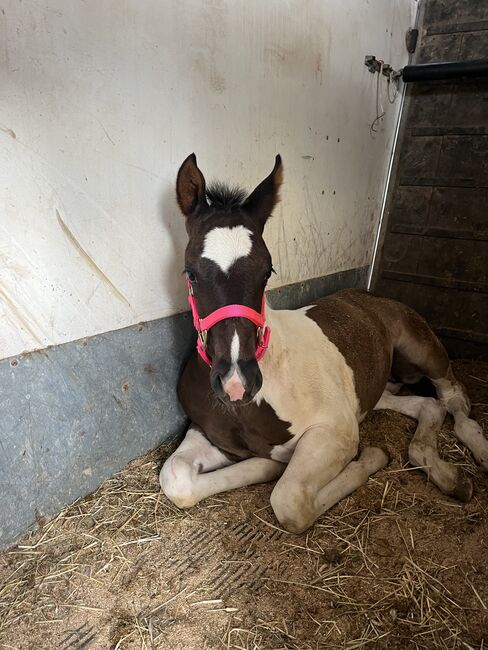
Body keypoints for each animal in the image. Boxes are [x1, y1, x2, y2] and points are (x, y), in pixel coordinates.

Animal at [159, 153, 484, 532]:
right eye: (191, 273)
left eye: (267, 271)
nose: (237, 383)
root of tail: (369, 296)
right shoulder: (210, 435)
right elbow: (176, 478)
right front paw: (268, 464)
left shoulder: (335, 430)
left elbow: (290, 501)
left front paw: (370, 458)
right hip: (368, 388)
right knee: (428, 406)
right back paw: (445, 472)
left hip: (422, 349)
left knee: (454, 401)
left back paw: (473, 457)